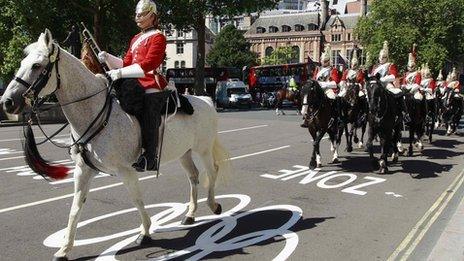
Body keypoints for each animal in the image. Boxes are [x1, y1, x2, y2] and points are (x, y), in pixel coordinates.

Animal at [0, 29, 231, 258]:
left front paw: (145, 232)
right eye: (22, 62)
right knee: (193, 176)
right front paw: (64, 248)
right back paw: (190, 214)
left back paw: (213, 205)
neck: (95, 114)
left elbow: (137, 199)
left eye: (36, 65)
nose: (7, 102)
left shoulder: (126, 170)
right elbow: (75, 208)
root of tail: (205, 99)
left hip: (203, 149)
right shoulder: (83, 170)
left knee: (212, 171)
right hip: (183, 152)